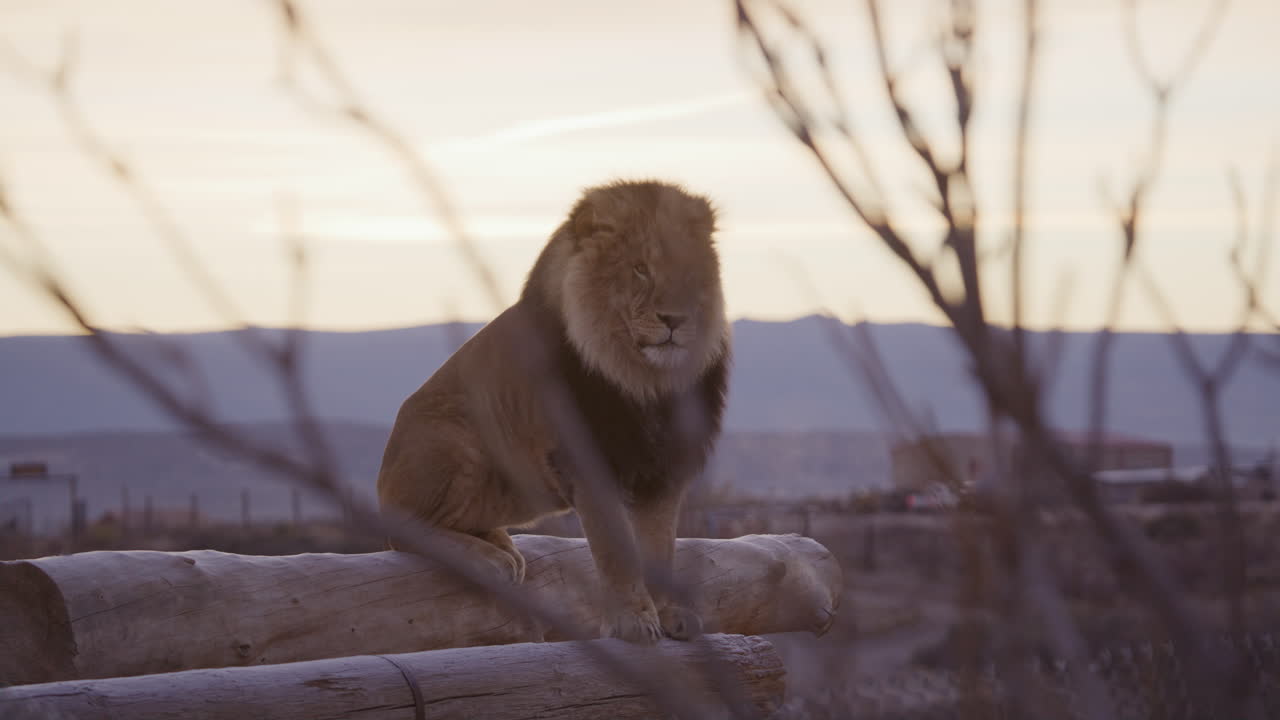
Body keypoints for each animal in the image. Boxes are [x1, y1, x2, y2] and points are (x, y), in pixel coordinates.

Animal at [377, 179, 730, 644]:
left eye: (690, 272)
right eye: (640, 269)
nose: (675, 319)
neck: (647, 381)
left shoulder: (664, 471)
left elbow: (662, 549)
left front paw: (671, 615)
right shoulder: (588, 463)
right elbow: (616, 550)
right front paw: (632, 622)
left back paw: (501, 547)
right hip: (453, 434)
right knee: (399, 530)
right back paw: (488, 560)